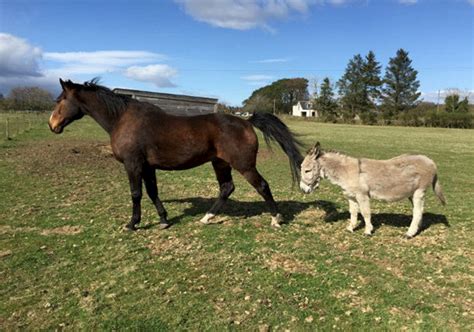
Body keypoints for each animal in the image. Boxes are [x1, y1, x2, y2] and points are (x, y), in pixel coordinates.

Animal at [47, 79, 300, 230]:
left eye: (60, 100)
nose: (52, 125)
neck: (122, 119)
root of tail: (246, 121)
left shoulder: (133, 164)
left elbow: (136, 193)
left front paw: (132, 223)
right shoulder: (147, 166)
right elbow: (152, 192)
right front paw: (163, 219)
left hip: (244, 165)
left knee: (262, 186)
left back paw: (276, 219)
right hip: (220, 163)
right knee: (226, 188)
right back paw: (207, 217)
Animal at [300, 141, 444, 237]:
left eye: (307, 170)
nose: (302, 190)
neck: (347, 172)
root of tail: (431, 161)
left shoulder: (362, 195)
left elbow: (365, 213)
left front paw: (368, 231)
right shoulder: (351, 196)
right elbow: (353, 213)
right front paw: (350, 228)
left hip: (419, 191)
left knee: (418, 211)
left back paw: (409, 233)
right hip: (411, 193)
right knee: (419, 211)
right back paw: (416, 229)